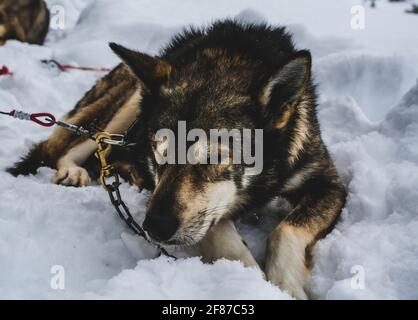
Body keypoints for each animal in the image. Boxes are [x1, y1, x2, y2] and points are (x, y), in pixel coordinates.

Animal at [8, 21, 346, 298]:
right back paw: (73, 172)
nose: (154, 228)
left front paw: (285, 285)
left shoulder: (328, 183)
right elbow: (218, 232)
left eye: (213, 157)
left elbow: (284, 230)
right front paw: (250, 280)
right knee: (81, 145)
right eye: (160, 151)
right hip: (127, 108)